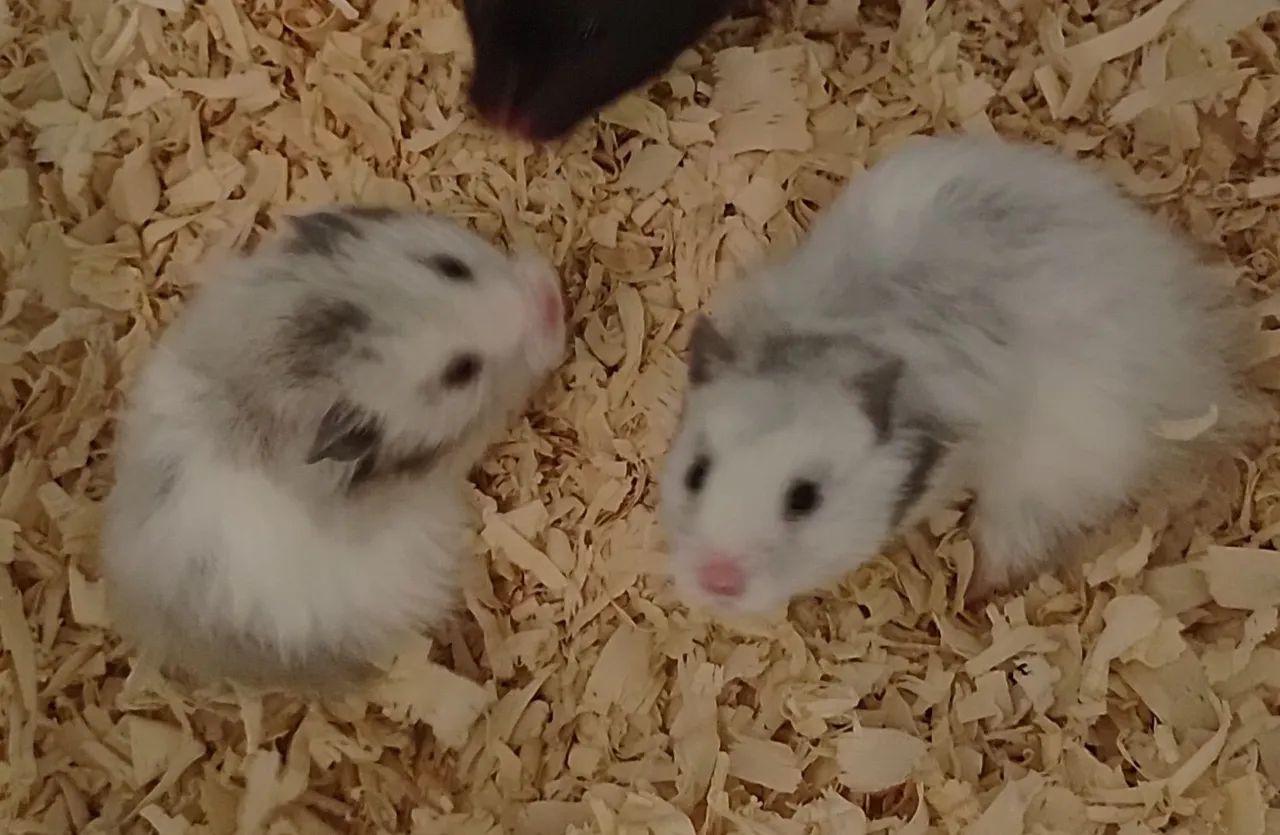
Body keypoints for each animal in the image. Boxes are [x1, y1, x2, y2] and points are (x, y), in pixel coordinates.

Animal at [659, 134, 1264, 616]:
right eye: (696, 473)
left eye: (804, 498)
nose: (717, 582)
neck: (823, 348)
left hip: (1053, 478)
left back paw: (971, 596)